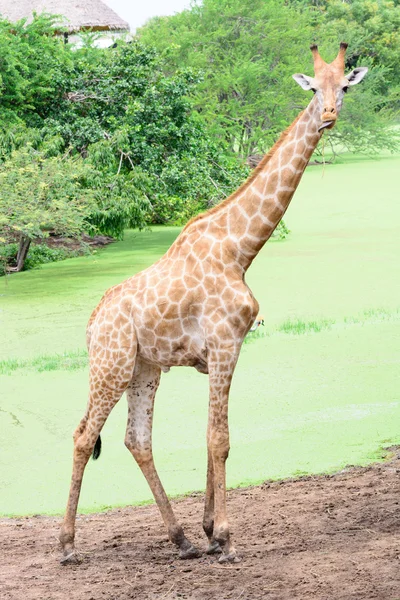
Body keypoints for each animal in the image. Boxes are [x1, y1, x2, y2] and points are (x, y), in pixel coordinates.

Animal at [59, 44, 368, 564]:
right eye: (313, 88)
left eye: (344, 86)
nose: (328, 116)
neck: (240, 248)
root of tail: (91, 322)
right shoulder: (226, 344)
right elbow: (219, 438)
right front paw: (225, 538)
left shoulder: (219, 352)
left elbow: (209, 437)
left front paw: (207, 532)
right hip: (111, 364)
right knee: (84, 436)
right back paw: (65, 545)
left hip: (144, 368)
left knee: (136, 439)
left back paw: (181, 539)